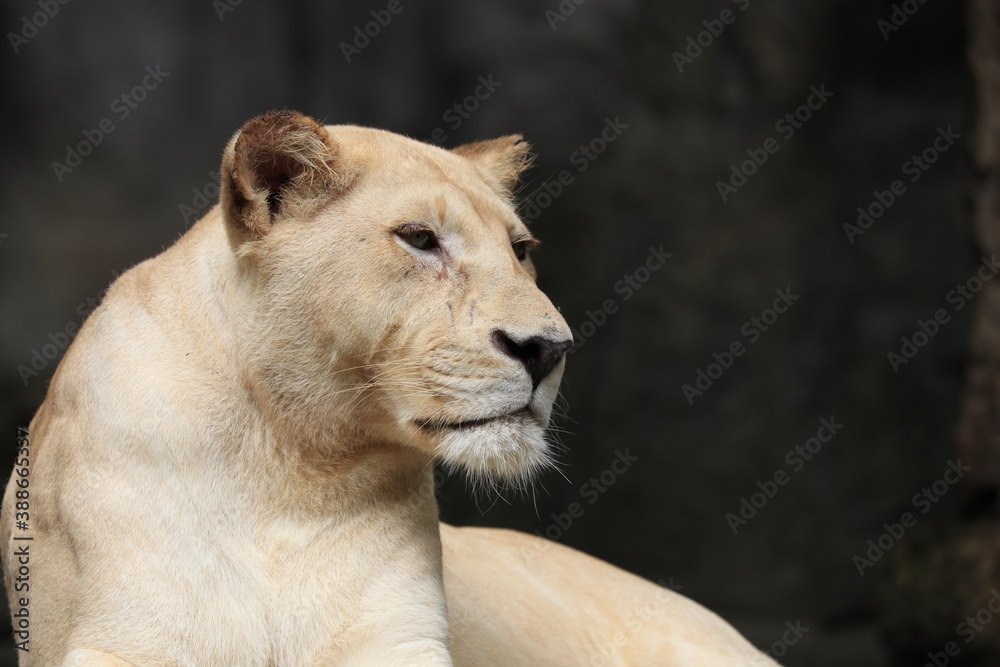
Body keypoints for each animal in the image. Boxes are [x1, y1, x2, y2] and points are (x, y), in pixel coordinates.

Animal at [2, 110, 779, 666]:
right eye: (420, 238)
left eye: (520, 250)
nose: (548, 348)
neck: (283, 464)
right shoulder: (123, 636)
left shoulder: (399, 637)